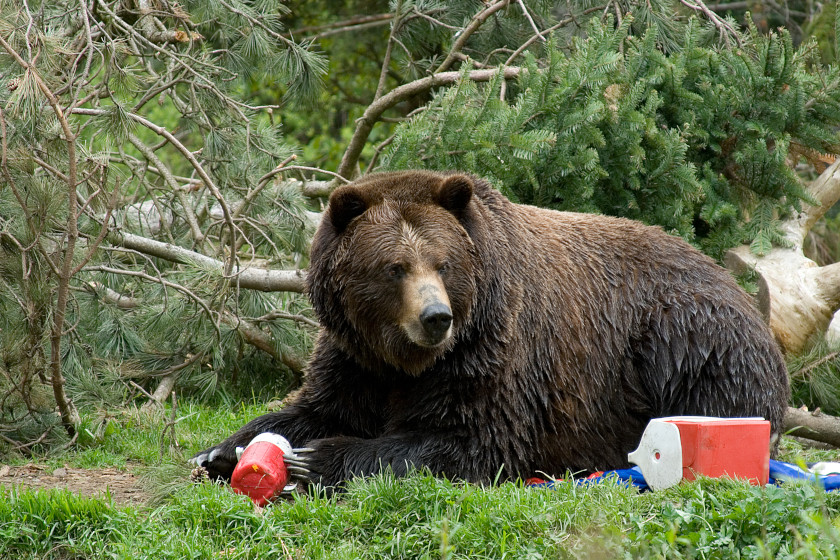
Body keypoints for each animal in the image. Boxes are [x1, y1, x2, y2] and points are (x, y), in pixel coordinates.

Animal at [194, 170, 792, 486]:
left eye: (443, 263)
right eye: (394, 267)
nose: (435, 317)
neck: (407, 360)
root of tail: (738, 290)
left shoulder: (492, 352)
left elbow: (471, 439)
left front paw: (316, 460)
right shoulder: (354, 355)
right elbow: (315, 404)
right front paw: (221, 451)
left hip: (684, 340)